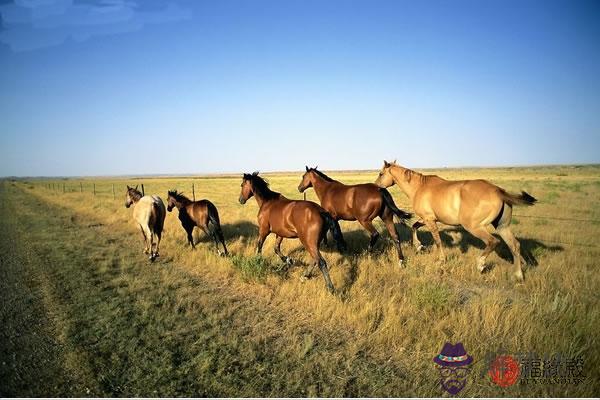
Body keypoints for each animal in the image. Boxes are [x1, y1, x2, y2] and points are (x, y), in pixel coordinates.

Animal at [372, 160, 536, 282]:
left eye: (381, 173)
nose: (376, 187)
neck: (419, 187)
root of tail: (498, 191)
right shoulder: (428, 219)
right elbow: (414, 226)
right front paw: (419, 246)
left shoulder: (430, 220)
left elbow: (437, 241)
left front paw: (441, 260)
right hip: (502, 227)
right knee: (514, 245)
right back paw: (518, 275)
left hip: (474, 227)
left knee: (493, 242)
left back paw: (480, 264)